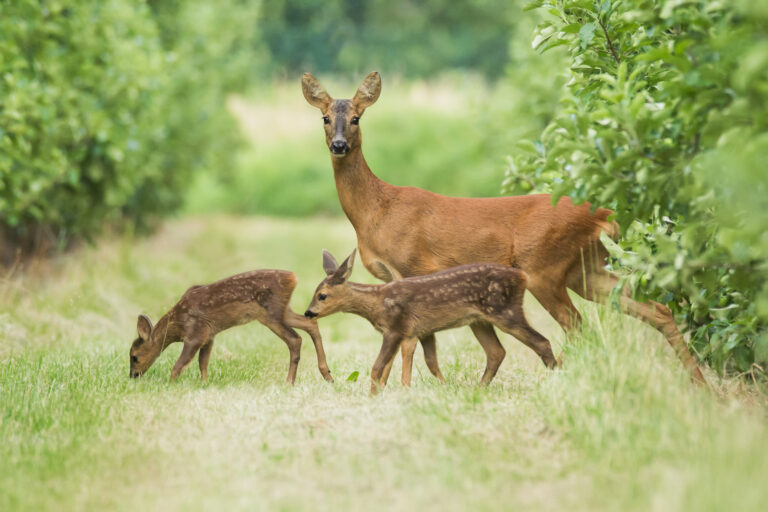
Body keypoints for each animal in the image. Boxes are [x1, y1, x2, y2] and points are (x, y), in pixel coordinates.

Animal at [129, 268, 332, 384]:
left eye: (134, 357)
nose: (133, 376)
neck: (178, 323)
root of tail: (293, 278)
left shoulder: (195, 333)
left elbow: (179, 364)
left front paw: (172, 384)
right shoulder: (209, 335)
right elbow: (203, 362)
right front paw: (204, 383)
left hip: (271, 313)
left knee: (295, 339)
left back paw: (289, 381)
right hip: (283, 311)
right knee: (310, 322)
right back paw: (327, 374)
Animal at [306, 250, 560, 394]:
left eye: (322, 296)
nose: (308, 313)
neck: (377, 302)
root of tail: (522, 277)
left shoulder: (396, 327)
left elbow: (378, 366)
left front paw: (378, 394)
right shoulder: (416, 331)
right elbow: (422, 362)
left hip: (505, 311)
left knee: (541, 341)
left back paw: (556, 378)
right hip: (479, 321)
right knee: (497, 351)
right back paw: (478, 389)